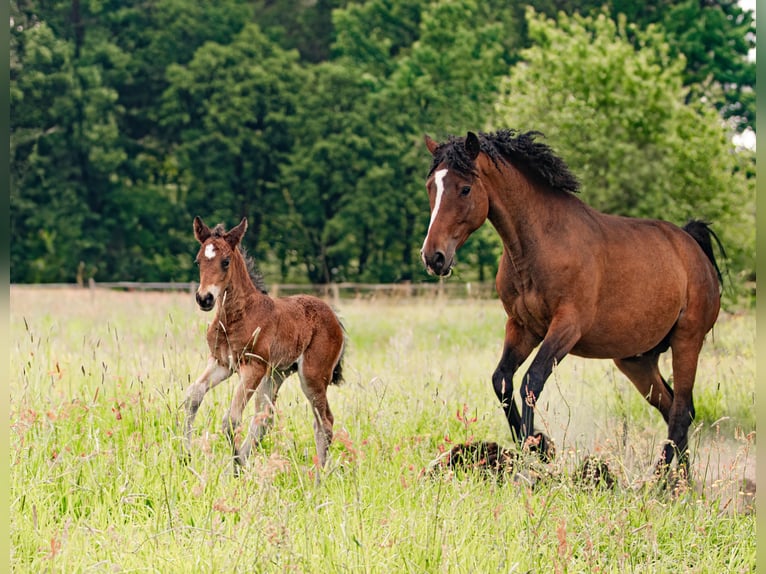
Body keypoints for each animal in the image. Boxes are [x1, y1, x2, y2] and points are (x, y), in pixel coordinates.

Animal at [182, 216, 346, 475]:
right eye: (198, 260)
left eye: (225, 261)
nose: (204, 298)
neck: (237, 315)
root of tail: (335, 318)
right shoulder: (221, 363)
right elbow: (193, 396)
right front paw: (186, 456)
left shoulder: (253, 366)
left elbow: (231, 419)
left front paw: (235, 466)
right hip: (277, 373)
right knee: (265, 418)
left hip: (312, 376)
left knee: (325, 422)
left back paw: (318, 477)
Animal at [420, 129, 724, 477]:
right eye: (431, 187)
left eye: (465, 188)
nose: (433, 257)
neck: (541, 243)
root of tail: (692, 247)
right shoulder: (522, 327)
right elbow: (502, 381)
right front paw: (535, 445)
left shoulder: (567, 327)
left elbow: (531, 382)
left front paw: (536, 451)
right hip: (637, 360)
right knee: (672, 406)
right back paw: (682, 484)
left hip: (687, 341)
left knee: (681, 412)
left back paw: (657, 482)